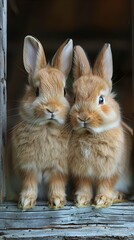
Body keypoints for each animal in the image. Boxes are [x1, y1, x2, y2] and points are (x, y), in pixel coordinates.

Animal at [11, 35, 73, 210]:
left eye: (65, 91)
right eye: (37, 91)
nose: (52, 109)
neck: (47, 127)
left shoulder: (59, 168)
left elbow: (57, 183)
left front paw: (57, 201)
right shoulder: (28, 167)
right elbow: (29, 183)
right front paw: (25, 202)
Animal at [68, 43, 133, 208]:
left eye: (101, 99)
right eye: (75, 98)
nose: (83, 117)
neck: (90, 134)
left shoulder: (111, 171)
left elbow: (106, 184)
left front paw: (102, 200)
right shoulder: (81, 172)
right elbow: (84, 185)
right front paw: (81, 200)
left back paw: (117, 196)